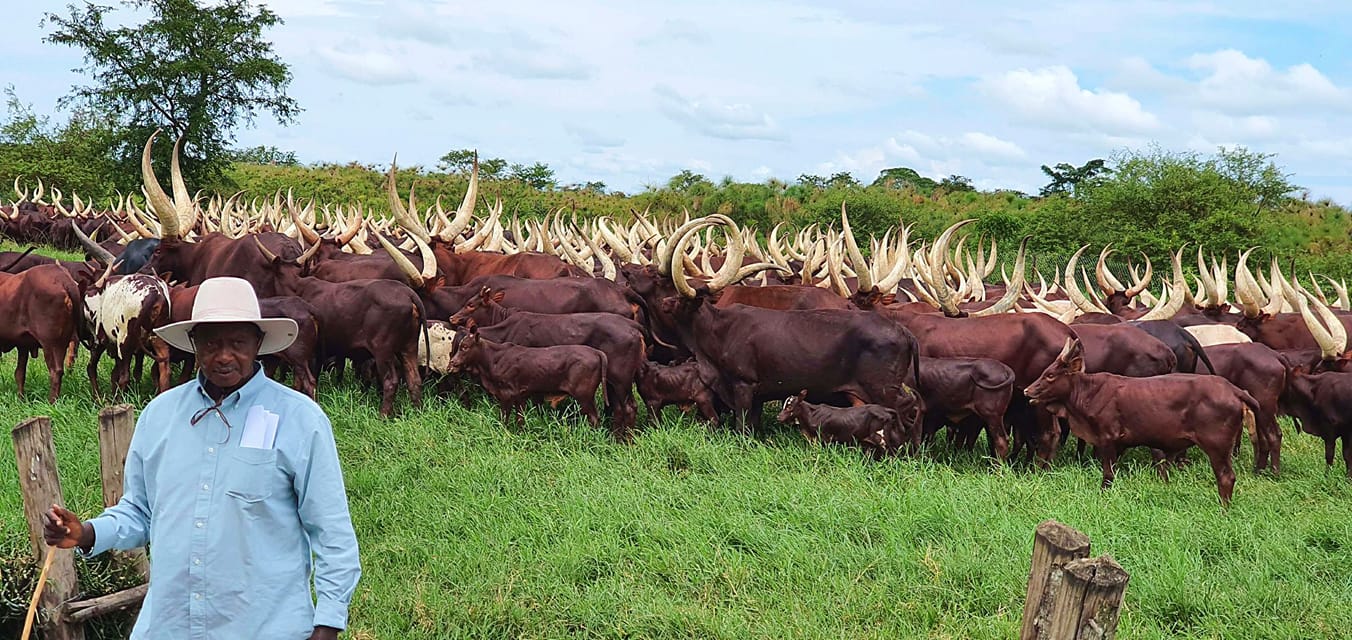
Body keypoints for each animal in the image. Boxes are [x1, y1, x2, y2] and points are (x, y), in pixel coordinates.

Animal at [448, 328, 608, 430]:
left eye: (465, 347)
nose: (452, 363)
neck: (493, 359)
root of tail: (596, 351)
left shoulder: (506, 393)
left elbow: (504, 417)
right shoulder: (520, 395)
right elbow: (520, 418)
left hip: (584, 396)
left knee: (594, 418)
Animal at [1027, 336, 1260, 506]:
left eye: (1050, 375)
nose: (1027, 390)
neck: (1089, 393)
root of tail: (1234, 390)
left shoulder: (1108, 438)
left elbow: (1107, 474)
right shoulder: (1120, 444)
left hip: (1217, 445)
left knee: (1226, 477)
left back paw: (1223, 509)